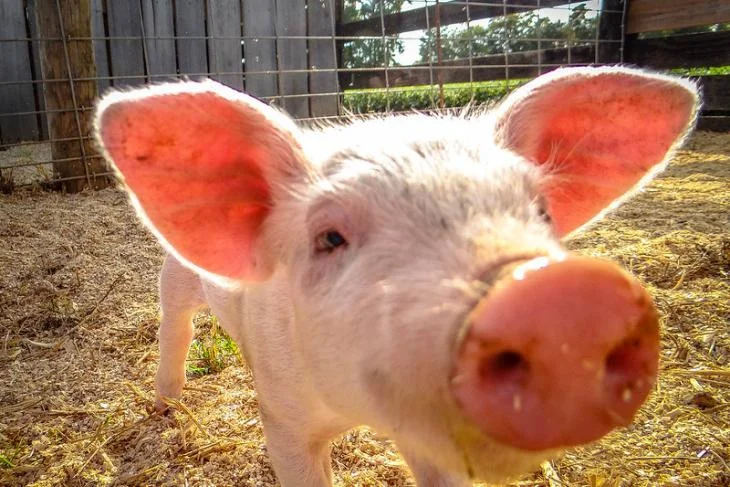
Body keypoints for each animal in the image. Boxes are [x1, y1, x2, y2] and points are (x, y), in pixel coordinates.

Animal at [95, 66, 698, 486]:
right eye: (330, 237)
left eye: (541, 209)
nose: (561, 296)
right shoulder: (284, 419)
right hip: (175, 276)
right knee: (175, 324)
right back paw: (166, 403)